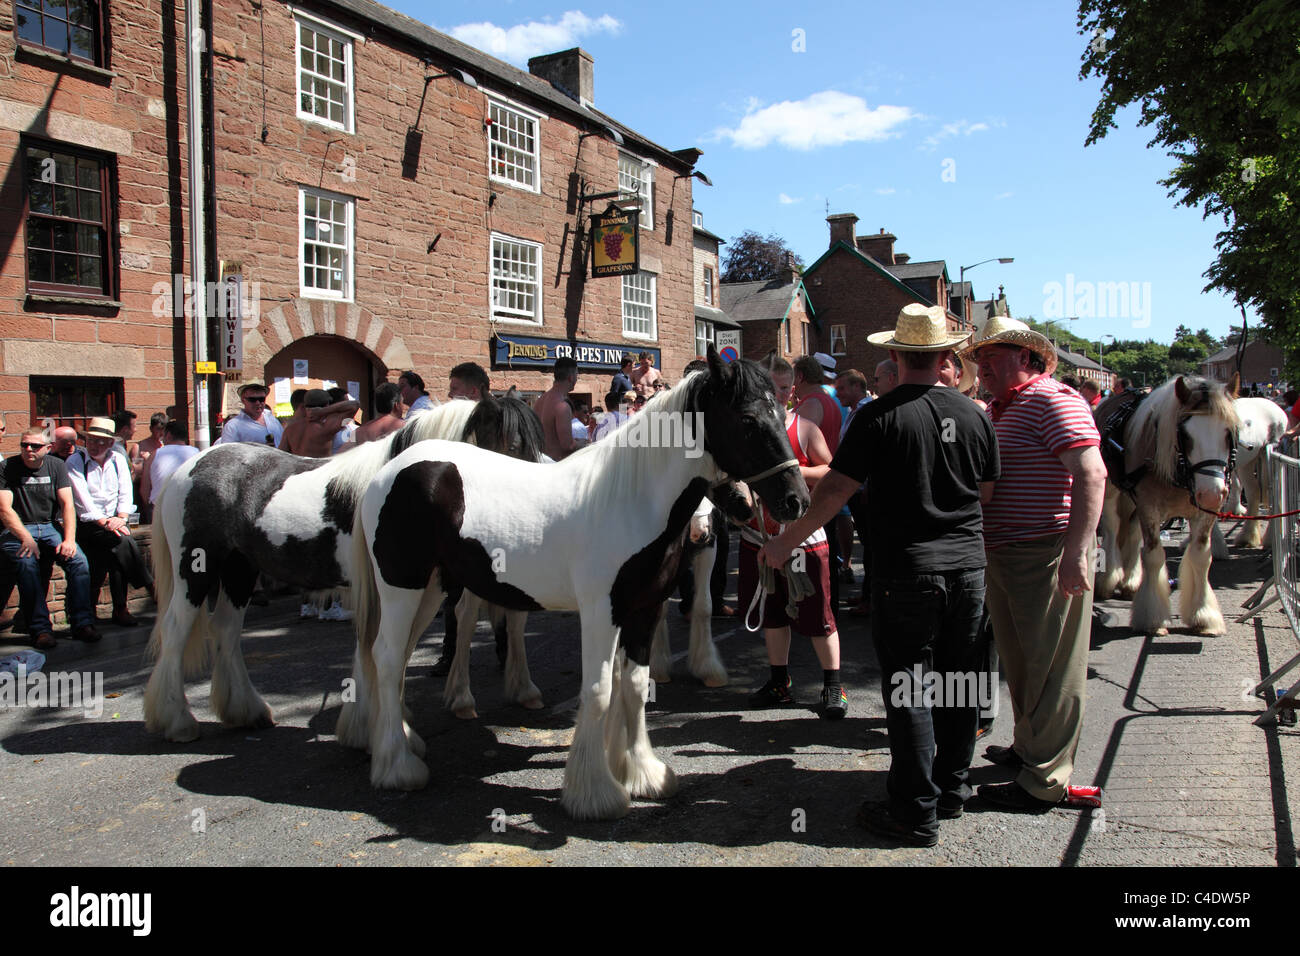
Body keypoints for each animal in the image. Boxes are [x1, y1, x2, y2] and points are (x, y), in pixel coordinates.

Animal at [142, 395, 543, 738]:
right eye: (513, 447)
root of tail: (189, 467)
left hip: (239, 570)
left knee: (225, 629)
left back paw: (246, 712)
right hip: (196, 569)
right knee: (176, 629)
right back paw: (177, 721)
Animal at [351, 348, 806, 816]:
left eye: (782, 411)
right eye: (748, 419)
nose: (796, 500)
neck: (629, 500)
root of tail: (389, 471)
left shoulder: (645, 609)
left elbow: (636, 685)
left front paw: (643, 774)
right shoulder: (600, 612)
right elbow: (600, 689)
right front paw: (596, 793)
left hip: (430, 588)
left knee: (397, 657)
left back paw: (403, 742)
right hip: (401, 586)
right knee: (388, 657)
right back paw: (398, 766)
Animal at [1097, 374, 1237, 634]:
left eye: (1228, 432)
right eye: (1186, 435)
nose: (1211, 493)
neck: (1180, 472)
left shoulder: (1204, 513)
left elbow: (1202, 556)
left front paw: (1204, 616)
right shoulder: (1149, 507)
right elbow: (1153, 556)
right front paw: (1152, 619)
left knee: (1132, 530)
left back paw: (1130, 581)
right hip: (1110, 490)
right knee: (1112, 526)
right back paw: (1110, 578)